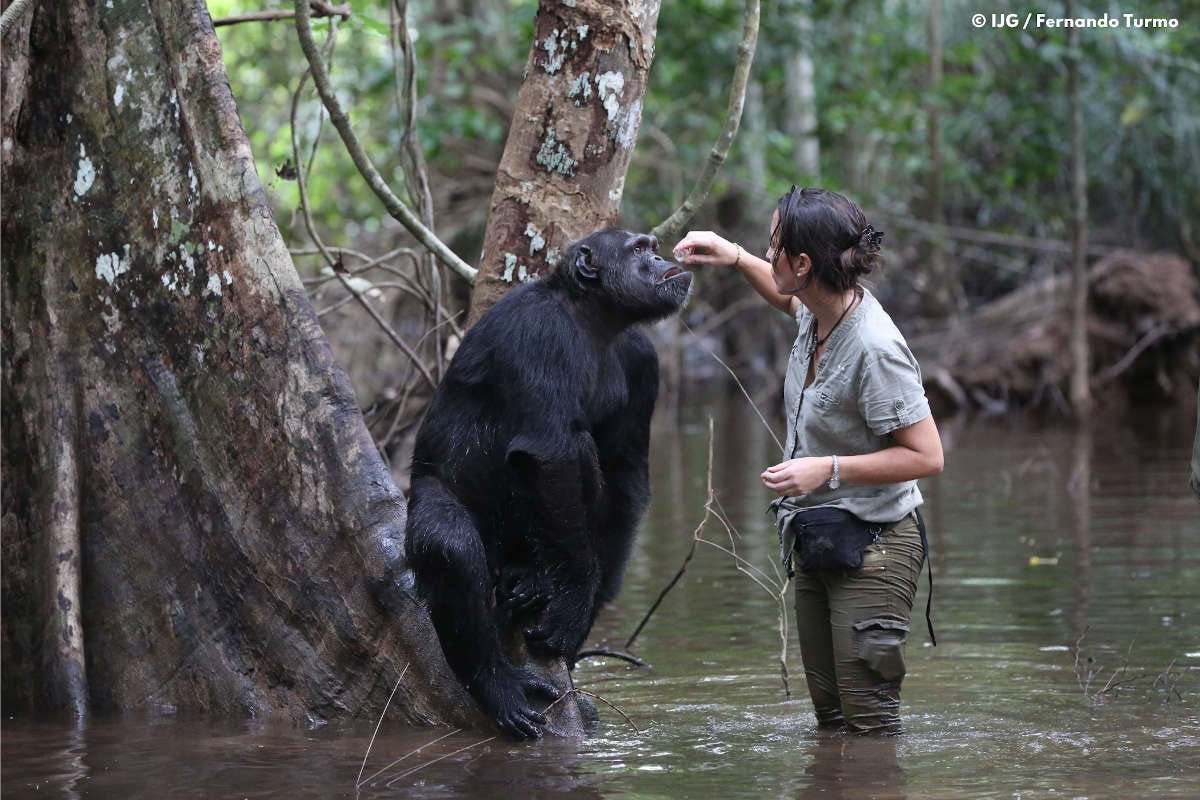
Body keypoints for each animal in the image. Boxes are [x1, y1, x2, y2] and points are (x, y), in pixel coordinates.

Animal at [408, 227, 696, 743]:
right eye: (638, 250)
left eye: (652, 247)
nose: (663, 261)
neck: (594, 319)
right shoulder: (541, 333)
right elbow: (549, 454)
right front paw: (576, 596)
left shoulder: (643, 360)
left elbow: (623, 475)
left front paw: (586, 611)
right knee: (450, 544)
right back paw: (498, 685)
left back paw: (530, 579)